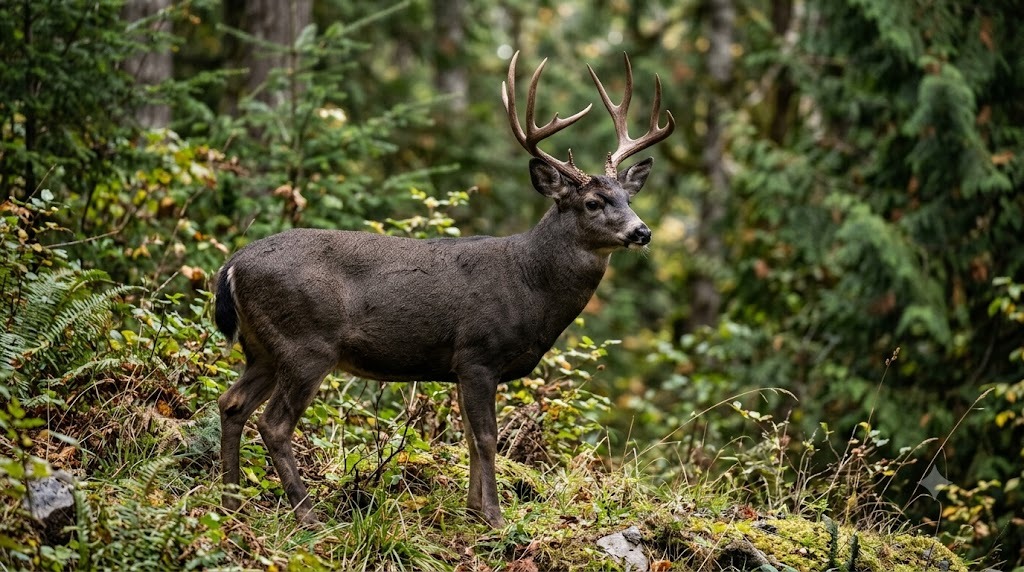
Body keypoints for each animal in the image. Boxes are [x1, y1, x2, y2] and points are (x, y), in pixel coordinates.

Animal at [213, 51, 675, 528]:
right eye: (592, 203)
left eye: (629, 198)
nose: (642, 232)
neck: (529, 283)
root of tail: (232, 265)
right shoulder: (478, 354)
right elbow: (487, 437)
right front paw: (495, 517)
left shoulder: (459, 367)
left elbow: (469, 437)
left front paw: (473, 511)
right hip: (306, 343)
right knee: (274, 423)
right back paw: (307, 514)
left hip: (263, 348)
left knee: (231, 402)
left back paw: (230, 502)